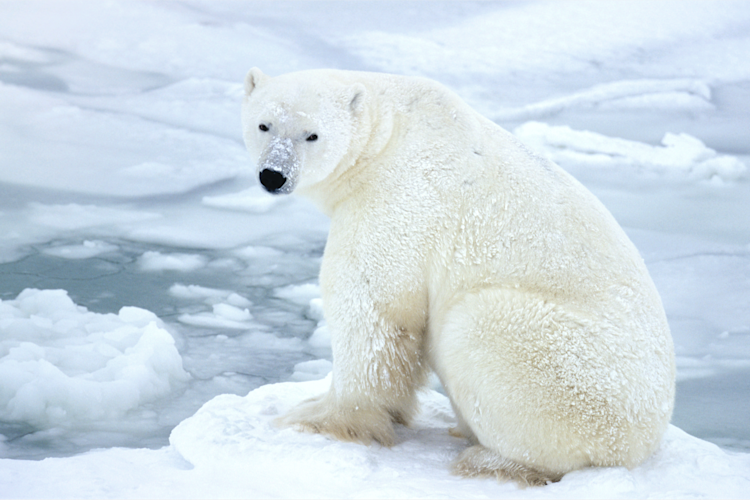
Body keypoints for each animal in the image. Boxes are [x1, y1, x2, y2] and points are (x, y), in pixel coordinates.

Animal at [241, 68, 676, 486]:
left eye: (312, 134)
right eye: (264, 125)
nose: (273, 175)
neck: (389, 134)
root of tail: (643, 444)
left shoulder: (400, 201)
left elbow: (371, 308)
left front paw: (318, 417)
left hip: (572, 376)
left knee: (476, 328)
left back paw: (492, 460)